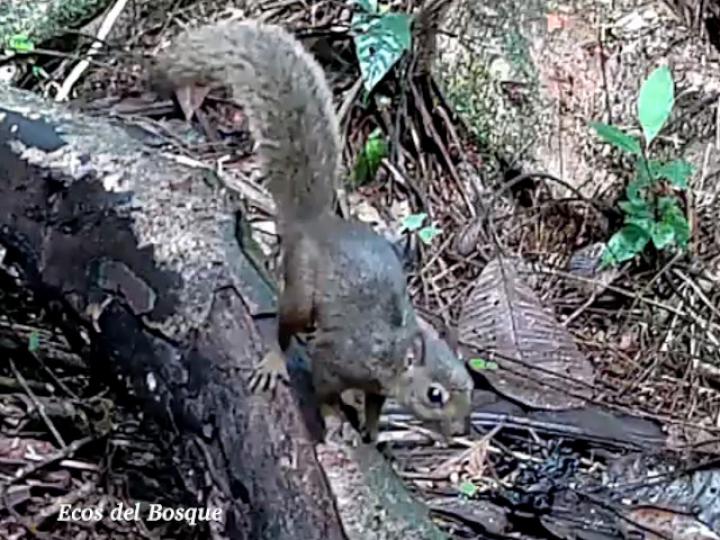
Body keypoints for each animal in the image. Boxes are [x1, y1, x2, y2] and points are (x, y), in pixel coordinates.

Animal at [150, 19, 473, 442]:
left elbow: (375, 407)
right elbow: (323, 386)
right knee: (286, 325)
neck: (388, 349)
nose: (462, 428)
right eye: (435, 395)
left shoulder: (377, 387)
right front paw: (334, 418)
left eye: (470, 385)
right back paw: (275, 360)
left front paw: (373, 433)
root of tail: (313, 224)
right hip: (302, 289)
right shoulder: (338, 356)